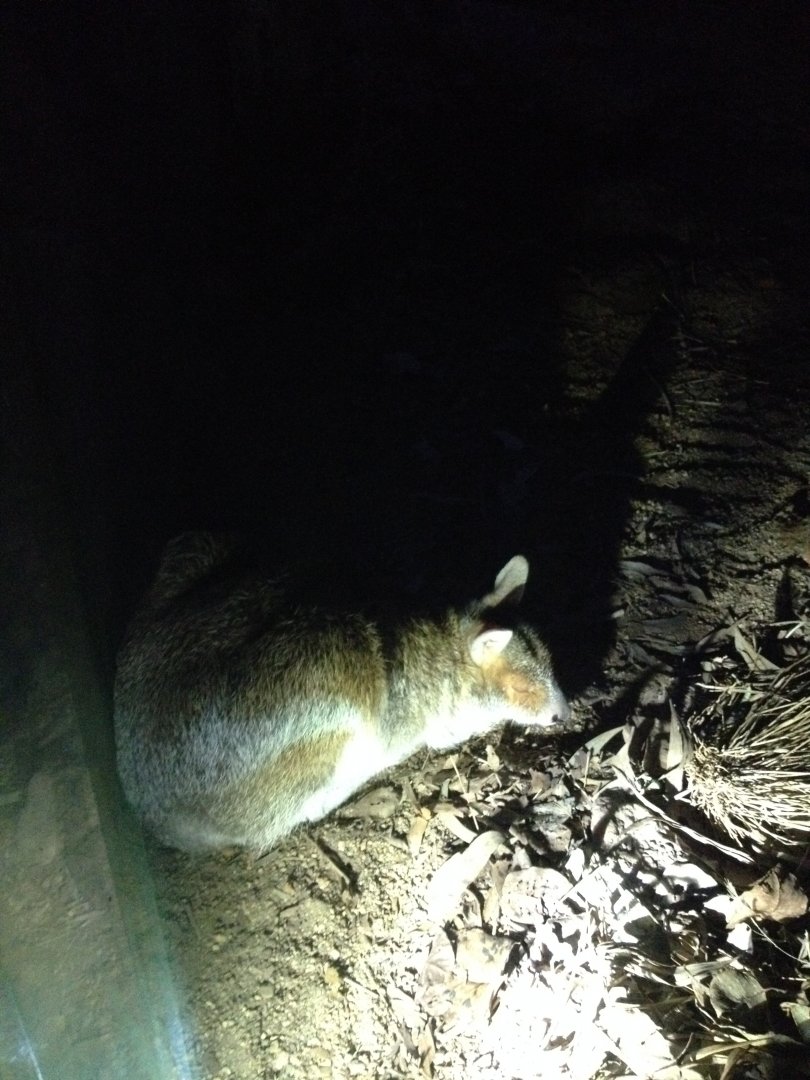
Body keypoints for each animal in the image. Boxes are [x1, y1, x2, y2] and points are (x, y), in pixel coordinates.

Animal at [114, 532, 569, 853]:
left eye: (550, 662)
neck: (442, 651)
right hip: (330, 680)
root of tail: (148, 807)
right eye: (521, 687)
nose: (563, 714)